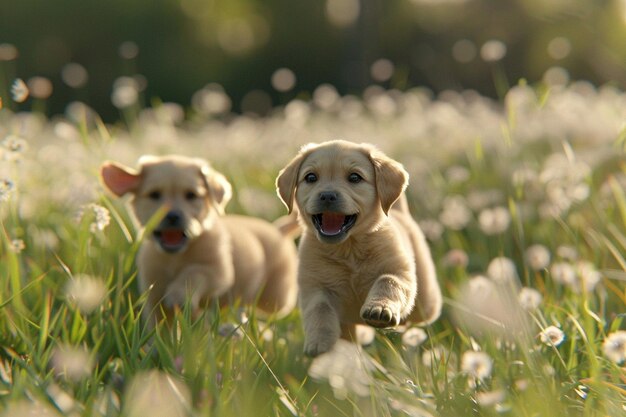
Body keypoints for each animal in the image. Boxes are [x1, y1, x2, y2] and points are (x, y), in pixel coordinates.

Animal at [100, 154, 298, 326]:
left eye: (191, 195)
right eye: (154, 194)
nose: (173, 216)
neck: (175, 258)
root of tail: (278, 230)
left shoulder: (219, 272)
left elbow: (194, 272)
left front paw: (179, 293)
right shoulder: (154, 297)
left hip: (275, 297)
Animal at [276, 140, 442, 354]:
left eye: (354, 177)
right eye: (311, 177)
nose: (327, 195)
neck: (349, 249)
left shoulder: (400, 273)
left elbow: (388, 281)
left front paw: (380, 308)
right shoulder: (313, 287)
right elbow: (319, 308)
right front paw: (319, 341)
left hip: (425, 302)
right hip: (348, 327)